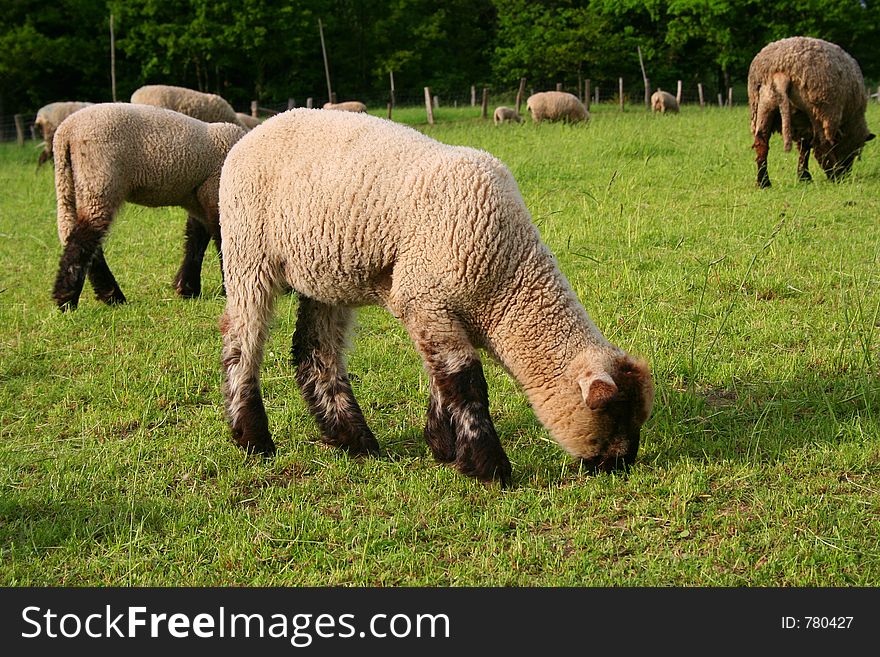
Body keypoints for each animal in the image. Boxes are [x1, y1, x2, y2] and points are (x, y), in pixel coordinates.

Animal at [52, 102, 248, 310]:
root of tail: (66, 132)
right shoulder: (215, 191)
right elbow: (221, 239)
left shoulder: (198, 200)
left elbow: (195, 240)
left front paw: (187, 288)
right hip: (100, 179)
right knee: (83, 240)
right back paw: (70, 299)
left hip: (71, 183)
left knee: (75, 235)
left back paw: (107, 295)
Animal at [218, 109, 652, 486]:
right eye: (614, 415)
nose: (623, 465)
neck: (507, 280)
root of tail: (260, 128)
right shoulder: (425, 297)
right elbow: (465, 382)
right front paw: (489, 467)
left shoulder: (432, 309)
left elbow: (441, 378)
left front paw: (443, 447)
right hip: (247, 253)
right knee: (242, 341)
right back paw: (253, 438)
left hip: (324, 273)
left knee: (315, 351)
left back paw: (354, 441)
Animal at [748, 36, 872, 187]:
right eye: (854, 151)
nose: (845, 174)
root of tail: (780, 71)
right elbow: (809, 147)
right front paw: (806, 176)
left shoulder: (801, 123)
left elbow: (804, 148)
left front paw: (803, 177)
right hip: (819, 109)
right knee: (821, 144)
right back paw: (832, 175)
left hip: (764, 104)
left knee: (761, 143)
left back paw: (764, 182)